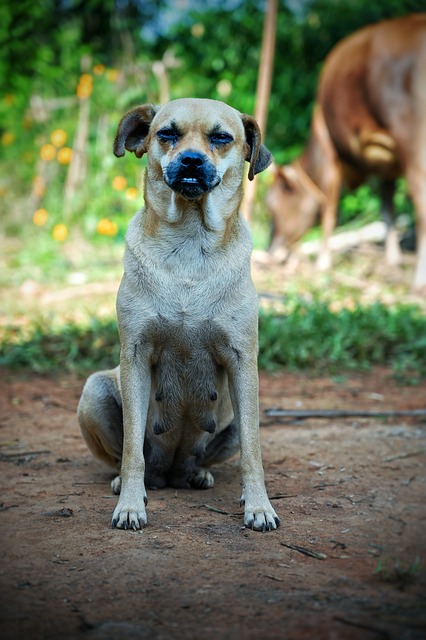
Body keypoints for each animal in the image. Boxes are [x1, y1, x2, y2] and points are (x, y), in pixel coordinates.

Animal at [78, 97, 282, 532]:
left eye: (221, 138)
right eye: (166, 134)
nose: (190, 160)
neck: (190, 239)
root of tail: (170, 471)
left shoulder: (243, 363)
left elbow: (253, 453)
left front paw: (258, 506)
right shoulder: (135, 356)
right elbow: (131, 449)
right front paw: (130, 506)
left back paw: (198, 473)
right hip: (95, 390)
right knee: (127, 456)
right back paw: (125, 483)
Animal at [266, 14, 426, 290]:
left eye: (273, 205)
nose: (270, 249)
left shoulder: (329, 148)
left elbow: (329, 208)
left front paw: (322, 262)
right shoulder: (387, 164)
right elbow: (388, 208)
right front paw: (392, 260)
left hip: (412, 140)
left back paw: (418, 280)